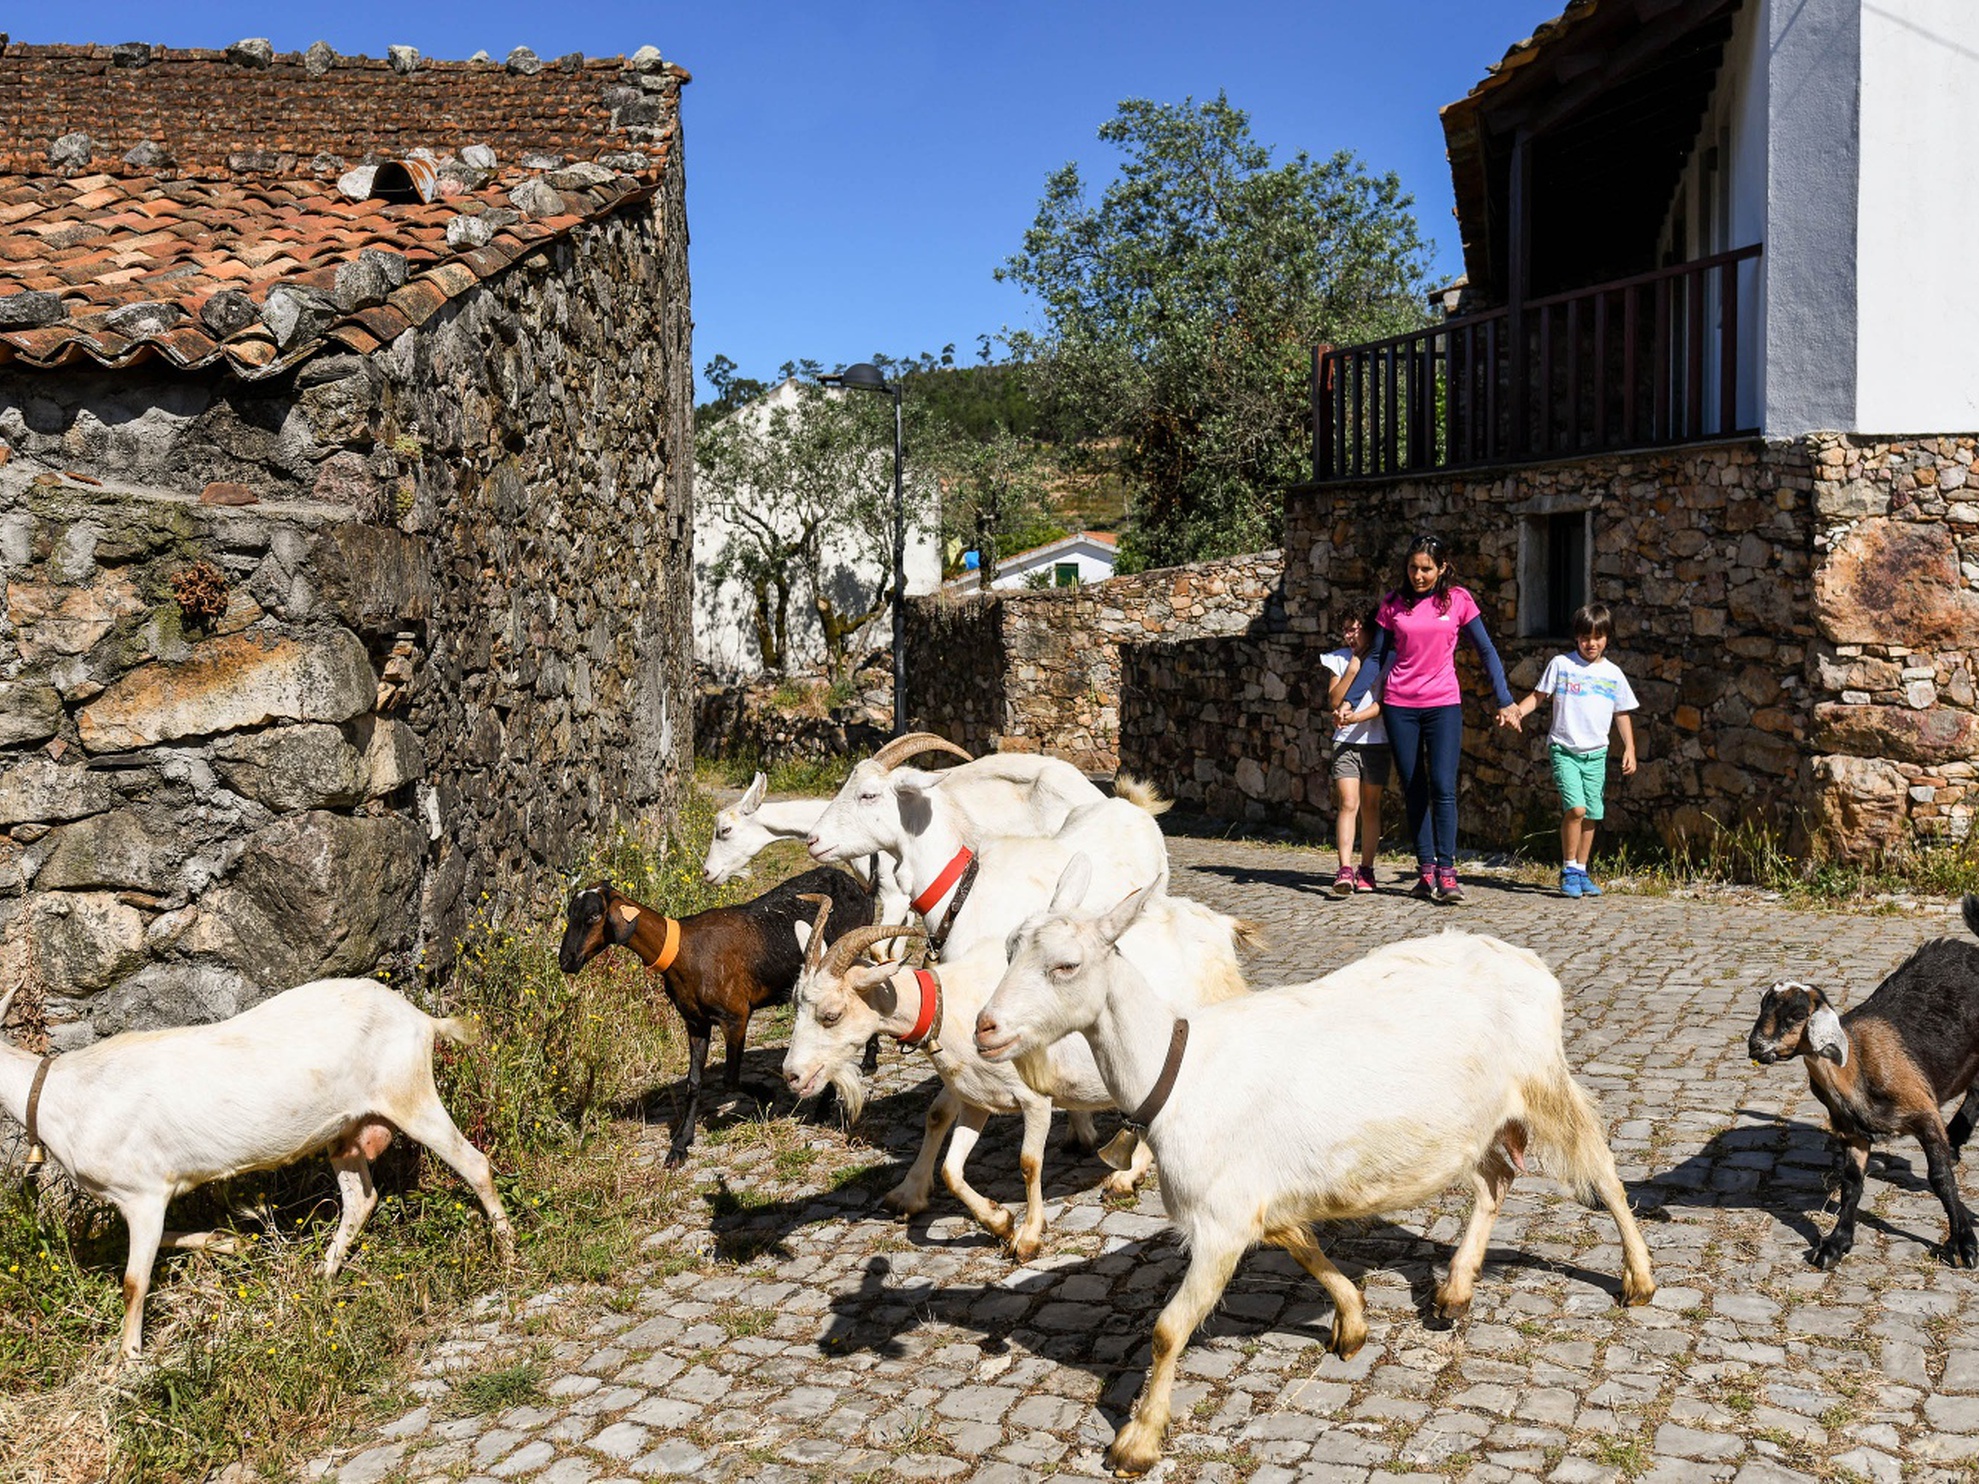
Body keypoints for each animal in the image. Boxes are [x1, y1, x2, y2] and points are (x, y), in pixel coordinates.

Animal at [0, 977, 513, 1367]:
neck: (64, 1096)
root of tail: (419, 1018)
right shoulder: (150, 1198)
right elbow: (169, 1239)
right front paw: (232, 1242)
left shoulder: (142, 1193)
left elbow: (133, 1282)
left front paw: (125, 1363)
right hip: (346, 1129)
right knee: (360, 1198)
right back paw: (321, 1277)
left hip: (407, 1093)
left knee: (473, 1163)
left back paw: (507, 1255)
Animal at [559, 864, 874, 1166]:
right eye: (570, 913)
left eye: (593, 916)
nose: (566, 961)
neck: (684, 952)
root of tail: (856, 885)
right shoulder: (695, 1022)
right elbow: (694, 1083)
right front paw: (680, 1144)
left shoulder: (736, 1016)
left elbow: (729, 1079)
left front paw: (765, 1094)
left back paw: (841, 1088)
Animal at [783, 884, 1256, 1259]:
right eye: (796, 1004)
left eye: (831, 1014)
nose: (792, 1076)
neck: (953, 1003)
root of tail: (1221, 925)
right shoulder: (973, 1094)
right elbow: (946, 1151)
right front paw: (975, 1213)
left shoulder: (1033, 1098)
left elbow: (1029, 1162)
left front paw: (1026, 1235)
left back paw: (1126, 1176)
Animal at [973, 856, 1655, 1476]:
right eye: (1008, 949)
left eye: (1067, 966)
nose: (985, 1028)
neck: (1179, 1072)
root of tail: (1529, 963)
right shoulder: (1257, 1199)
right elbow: (1301, 1244)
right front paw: (1352, 1323)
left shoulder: (1219, 1223)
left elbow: (1169, 1328)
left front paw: (1137, 1441)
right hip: (1481, 1117)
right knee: (1494, 1182)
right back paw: (1456, 1290)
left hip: (1543, 1079)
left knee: (1600, 1168)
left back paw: (1639, 1278)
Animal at [1748, 893, 1979, 1270]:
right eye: (1763, 1008)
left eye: (1796, 1015)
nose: (1755, 1045)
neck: (1857, 1068)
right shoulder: (1851, 1130)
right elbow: (1852, 1183)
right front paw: (1835, 1244)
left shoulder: (1925, 1112)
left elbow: (1941, 1178)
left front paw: (1963, 1242)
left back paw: (1957, 1137)